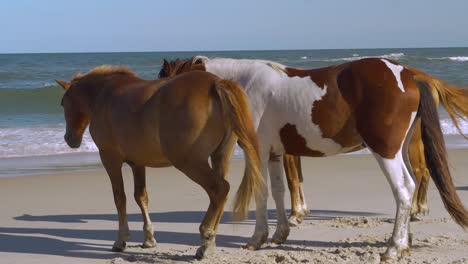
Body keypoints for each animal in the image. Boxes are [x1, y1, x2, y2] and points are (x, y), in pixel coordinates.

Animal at [54, 65, 264, 258]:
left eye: (63, 103)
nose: (69, 139)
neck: (103, 95)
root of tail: (216, 83)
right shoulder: (137, 162)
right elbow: (141, 197)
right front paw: (149, 239)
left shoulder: (110, 158)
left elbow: (120, 198)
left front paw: (121, 240)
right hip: (220, 157)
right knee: (219, 195)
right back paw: (210, 243)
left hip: (190, 162)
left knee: (220, 189)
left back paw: (205, 239)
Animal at [160, 56, 468, 260]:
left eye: (166, 79)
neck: (244, 85)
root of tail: (407, 75)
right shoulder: (275, 154)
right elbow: (279, 190)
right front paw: (280, 234)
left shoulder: (258, 152)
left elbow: (261, 193)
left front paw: (257, 239)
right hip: (401, 149)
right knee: (412, 184)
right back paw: (403, 243)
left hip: (385, 150)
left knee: (403, 189)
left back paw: (393, 248)